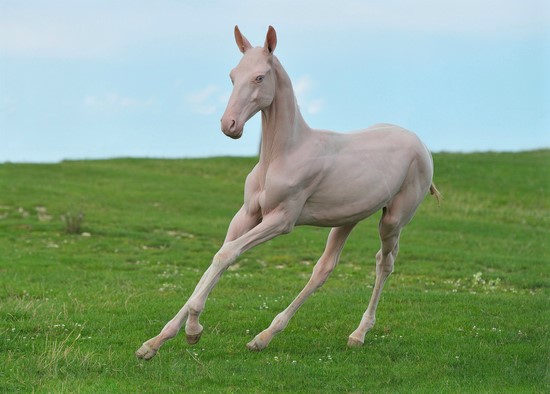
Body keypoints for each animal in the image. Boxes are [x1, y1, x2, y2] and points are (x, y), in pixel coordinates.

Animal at [137, 24, 440, 360]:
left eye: (259, 77)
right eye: (232, 75)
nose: (229, 125)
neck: (281, 155)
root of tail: (421, 144)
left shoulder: (281, 220)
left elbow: (227, 254)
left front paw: (192, 330)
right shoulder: (246, 215)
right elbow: (218, 258)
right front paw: (155, 342)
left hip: (393, 219)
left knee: (384, 262)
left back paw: (357, 334)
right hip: (347, 218)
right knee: (324, 268)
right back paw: (265, 336)